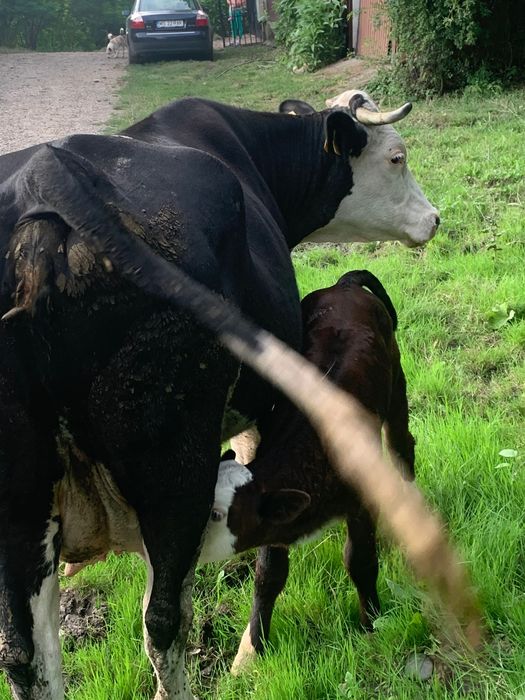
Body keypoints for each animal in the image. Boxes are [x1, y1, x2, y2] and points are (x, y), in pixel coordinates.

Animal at [200, 270, 416, 673]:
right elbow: (268, 575)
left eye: (218, 515)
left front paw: (371, 622)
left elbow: (360, 561)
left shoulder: (360, 503)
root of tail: (345, 285)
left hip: (396, 382)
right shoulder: (275, 520)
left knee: (401, 446)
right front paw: (255, 646)